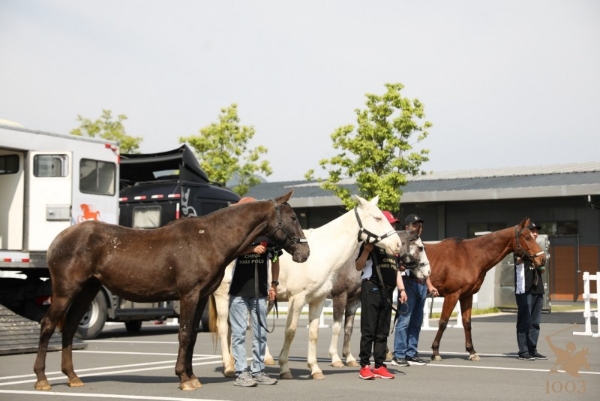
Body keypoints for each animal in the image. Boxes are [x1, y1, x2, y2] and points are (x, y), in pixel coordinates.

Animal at [32, 191, 310, 390]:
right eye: (293, 218)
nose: (304, 252)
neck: (209, 238)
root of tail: (58, 239)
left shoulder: (200, 297)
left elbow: (193, 337)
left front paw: (192, 376)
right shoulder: (189, 295)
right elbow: (184, 334)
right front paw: (183, 379)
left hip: (87, 290)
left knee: (69, 327)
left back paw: (72, 377)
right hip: (66, 291)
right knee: (48, 325)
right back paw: (42, 379)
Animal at [206, 195, 408, 380]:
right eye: (377, 218)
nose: (397, 245)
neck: (323, 253)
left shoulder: (318, 299)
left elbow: (314, 333)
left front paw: (315, 369)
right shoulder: (299, 299)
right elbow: (291, 331)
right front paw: (285, 368)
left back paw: (240, 362)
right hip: (223, 296)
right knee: (223, 327)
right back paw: (229, 367)